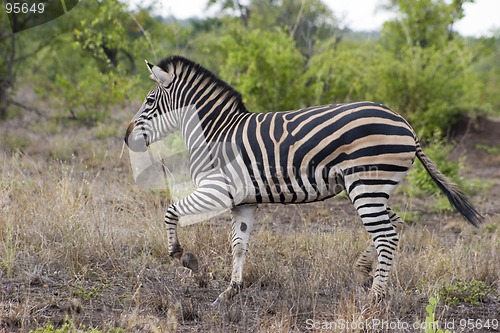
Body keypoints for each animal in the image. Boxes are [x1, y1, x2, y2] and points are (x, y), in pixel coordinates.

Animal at [126, 55, 484, 304]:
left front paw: (182, 256)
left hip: (366, 187)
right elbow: (239, 245)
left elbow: (171, 211)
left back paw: (374, 298)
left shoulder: (216, 191)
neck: (216, 134)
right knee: (394, 225)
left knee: (386, 235)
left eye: (149, 101)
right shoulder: (243, 202)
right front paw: (231, 291)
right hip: (374, 190)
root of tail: (406, 123)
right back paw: (363, 273)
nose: (127, 137)